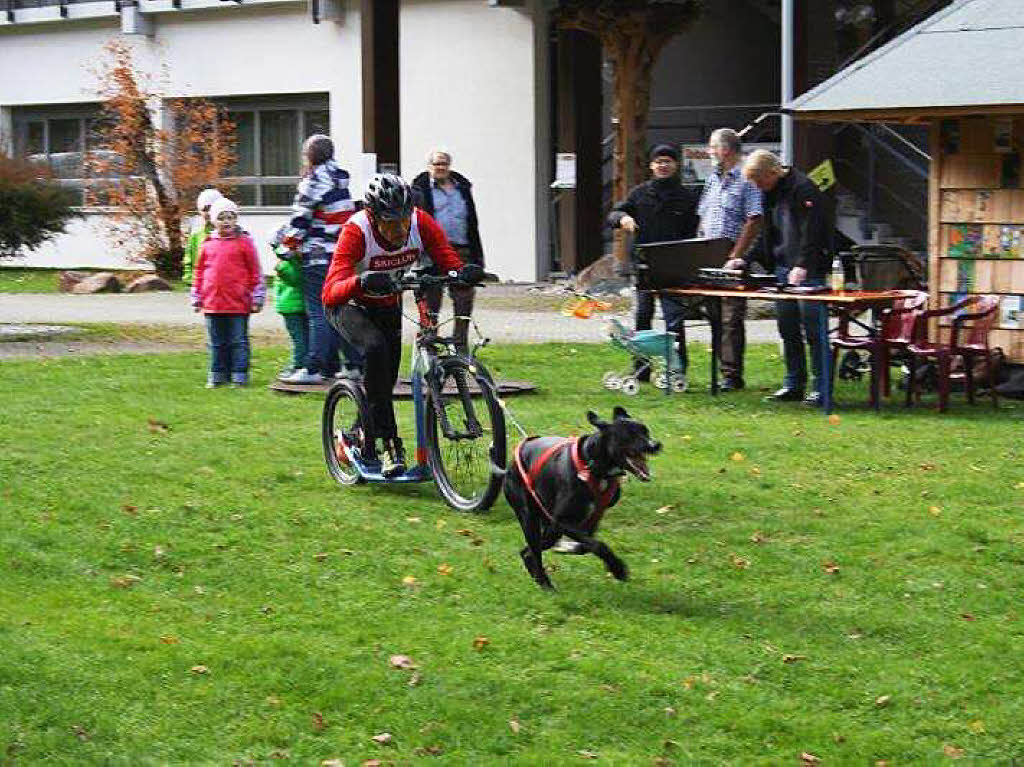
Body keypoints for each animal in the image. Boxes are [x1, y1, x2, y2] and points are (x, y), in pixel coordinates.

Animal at [503, 403, 663, 589]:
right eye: (629, 434)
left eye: (646, 431)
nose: (655, 445)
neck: (594, 469)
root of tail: (511, 465)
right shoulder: (561, 522)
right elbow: (598, 545)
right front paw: (617, 569)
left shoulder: (587, 521)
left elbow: (587, 545)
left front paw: (570, 548)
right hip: (529, 518)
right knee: (534, 553)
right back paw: (546, 584)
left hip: (547, 527)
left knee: (528, 551)